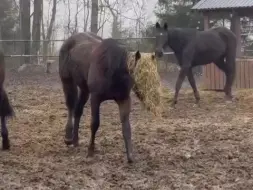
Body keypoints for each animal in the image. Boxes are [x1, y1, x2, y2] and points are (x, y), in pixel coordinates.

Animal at [58, 31, 152, 163]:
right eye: (142, 74)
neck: (111, 68)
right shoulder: (95, 98)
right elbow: (95, 124)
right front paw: (90, 151)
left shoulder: (124, 99)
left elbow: (126, 126)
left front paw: (130, 156)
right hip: (67, 81)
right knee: (71, 107)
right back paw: (68, 138)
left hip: (84, 89)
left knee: (78, 111)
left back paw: (75, 140)